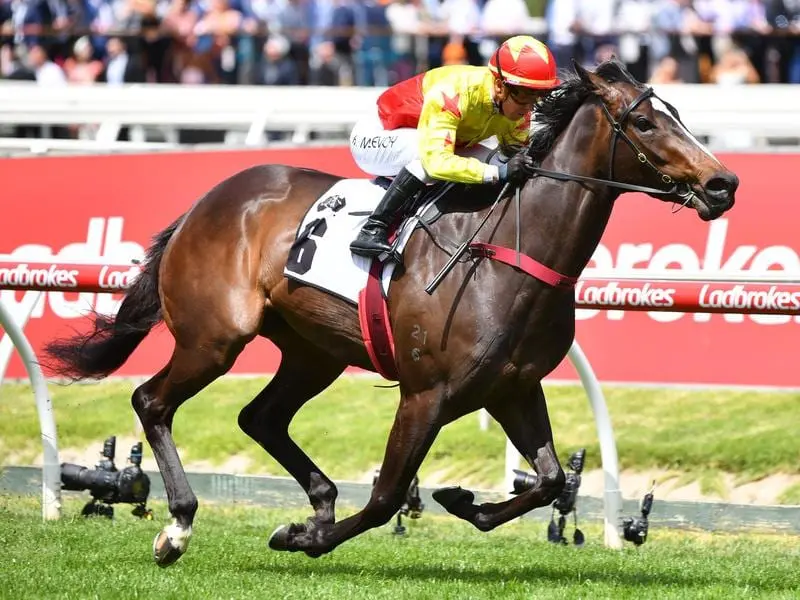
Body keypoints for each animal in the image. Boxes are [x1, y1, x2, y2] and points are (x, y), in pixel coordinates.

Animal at [45, 58, 736, 564]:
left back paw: (319, 499)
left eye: (676, 115)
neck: (507, 251)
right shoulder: (426, 392)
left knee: (259, 417)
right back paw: (179, 526)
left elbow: (547, 480)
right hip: (215, 338)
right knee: (152, 401)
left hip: (313, 352)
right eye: (644, 123)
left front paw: (462, 500)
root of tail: (206, 201)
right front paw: (305, 537)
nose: (723, 183)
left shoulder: (512, 386)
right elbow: (385, 496)